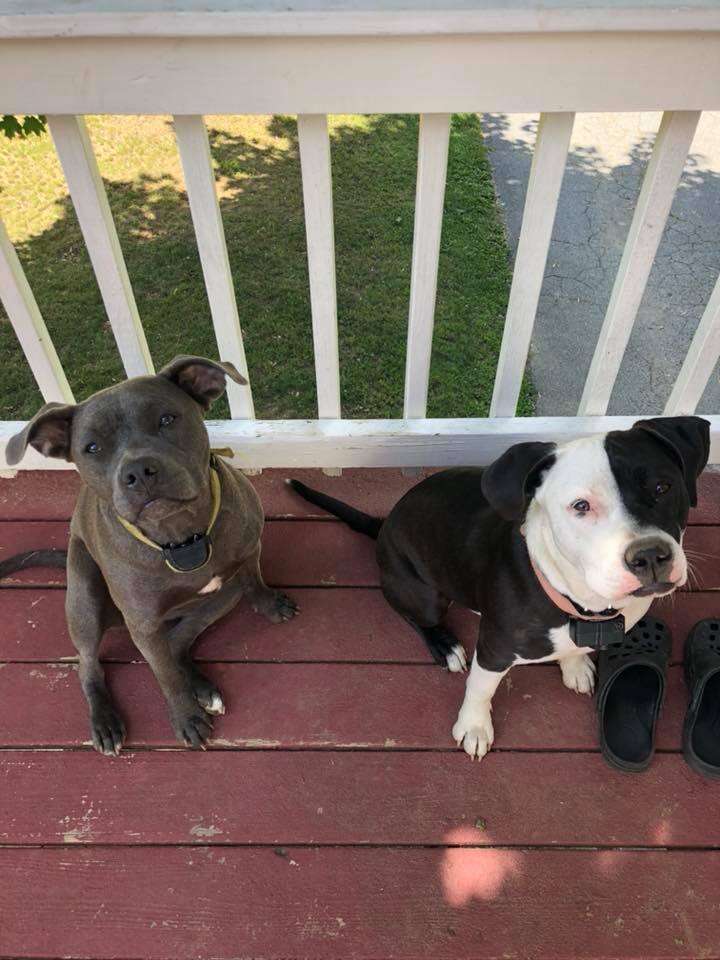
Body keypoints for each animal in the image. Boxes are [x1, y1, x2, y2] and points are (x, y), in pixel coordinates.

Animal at [1, 356, 296, 752]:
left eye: (167, 419)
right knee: (89, 664)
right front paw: (185, 718)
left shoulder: (249, 552)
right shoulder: (142, 624)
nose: (139, 471)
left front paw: (269, 603)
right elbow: (165, 677)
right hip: (84, 595)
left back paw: (202, 687)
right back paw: (105, 720)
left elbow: (254, 579)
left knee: (177, 641)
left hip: (222, 596)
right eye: (91, 447)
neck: (182, 538)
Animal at [292, 416, 708, 760]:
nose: (650, 556)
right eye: (580, 506)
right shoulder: (494, 649)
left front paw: (574, 665)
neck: (584, 605)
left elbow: (574, 649)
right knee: (412, 615)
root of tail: (384, 525)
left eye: (663, 486)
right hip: (424, 596)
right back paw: (444, 645)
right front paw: (474, 726)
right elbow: (481, 687)